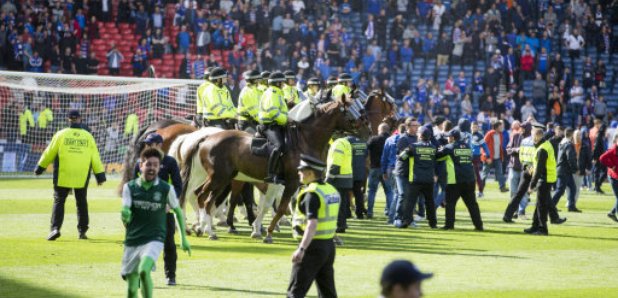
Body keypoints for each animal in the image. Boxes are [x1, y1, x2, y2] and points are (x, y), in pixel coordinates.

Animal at [178, 100, 370, 242]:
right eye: (350, 111)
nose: (367, 130)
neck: (305, 140)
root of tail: (206, 137)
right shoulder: (291, 182)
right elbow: (282, 207)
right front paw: (269, 232)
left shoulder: (302, 181)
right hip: (220, 178)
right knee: (203, 198)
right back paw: (208, 230)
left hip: (217, 178)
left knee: (202, 197)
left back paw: (203, 228)